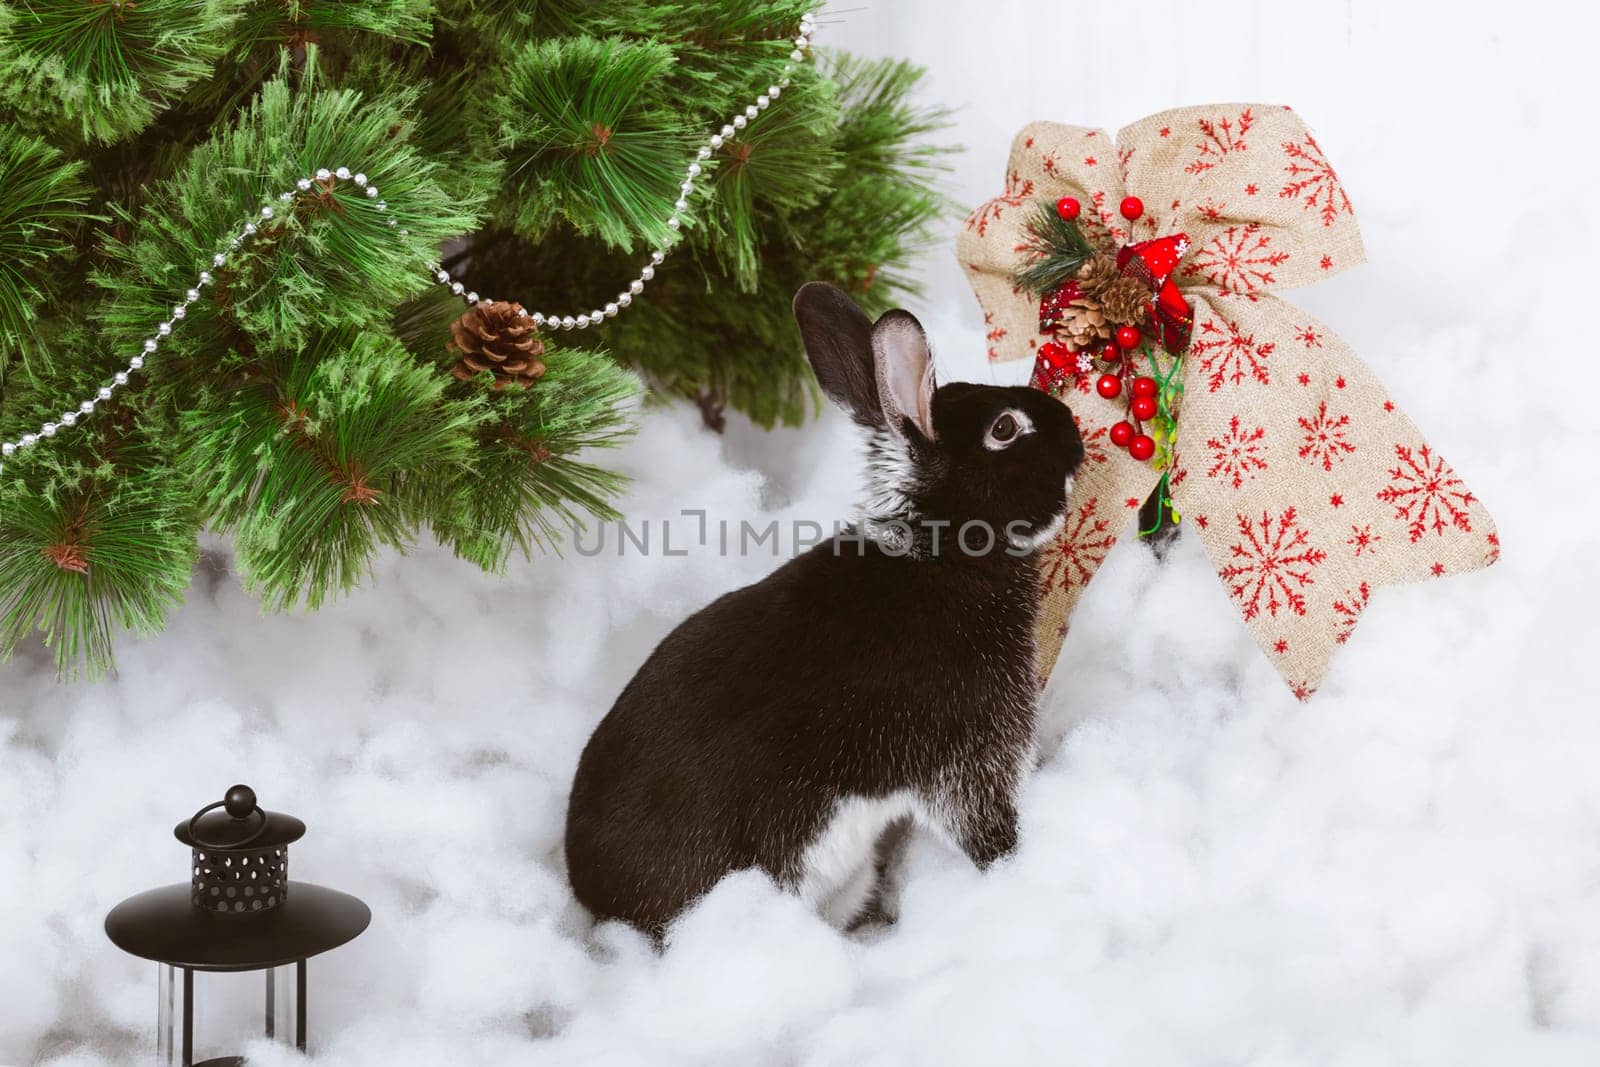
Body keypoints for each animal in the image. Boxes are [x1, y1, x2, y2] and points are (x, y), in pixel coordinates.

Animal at [566, 281, 1088, 934]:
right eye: (1006, 428)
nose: (1076, 434)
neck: (939, 551)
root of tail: (599, 900)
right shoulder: (969, 746)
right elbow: (982, 821)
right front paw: (1015, 866)